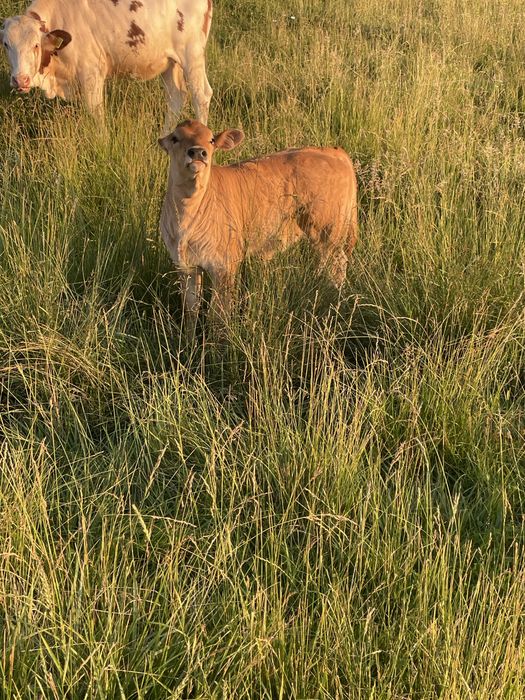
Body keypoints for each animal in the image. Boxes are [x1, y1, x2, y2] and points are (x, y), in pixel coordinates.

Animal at [0, 0, 213, 125]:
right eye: (5, 44)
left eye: (36, 45)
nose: (20, 80)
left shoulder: (91, 73)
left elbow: (96, 113)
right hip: (170, 62)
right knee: (175, 97)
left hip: (192, 54)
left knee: (201, 95)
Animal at [158, 120, 358, 324]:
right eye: (175, 138)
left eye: (211, 139)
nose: (198, 152)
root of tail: (332, 150)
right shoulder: (185, 266)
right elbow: (190, 310)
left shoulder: (225, 265)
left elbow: (218, 314)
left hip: (329, 229)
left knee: (337, 264)